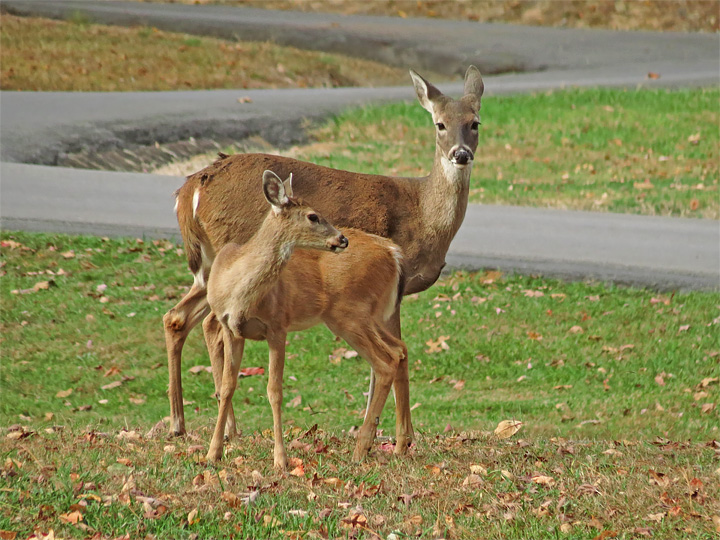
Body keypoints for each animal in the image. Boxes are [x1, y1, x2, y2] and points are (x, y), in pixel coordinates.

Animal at [205, 169, 407, 466]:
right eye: (313, 216)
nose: (342, 239)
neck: (238, 294)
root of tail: (393, 252)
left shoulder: (278, 325)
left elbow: (274, 391)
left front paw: (280, 459)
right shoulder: (230, 327)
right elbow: (228, 386)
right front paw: (213, 453)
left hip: (349, 313)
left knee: (387, 360)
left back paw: (361, 449)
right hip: (370, 314)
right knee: (400, 349)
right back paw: (397, 443)